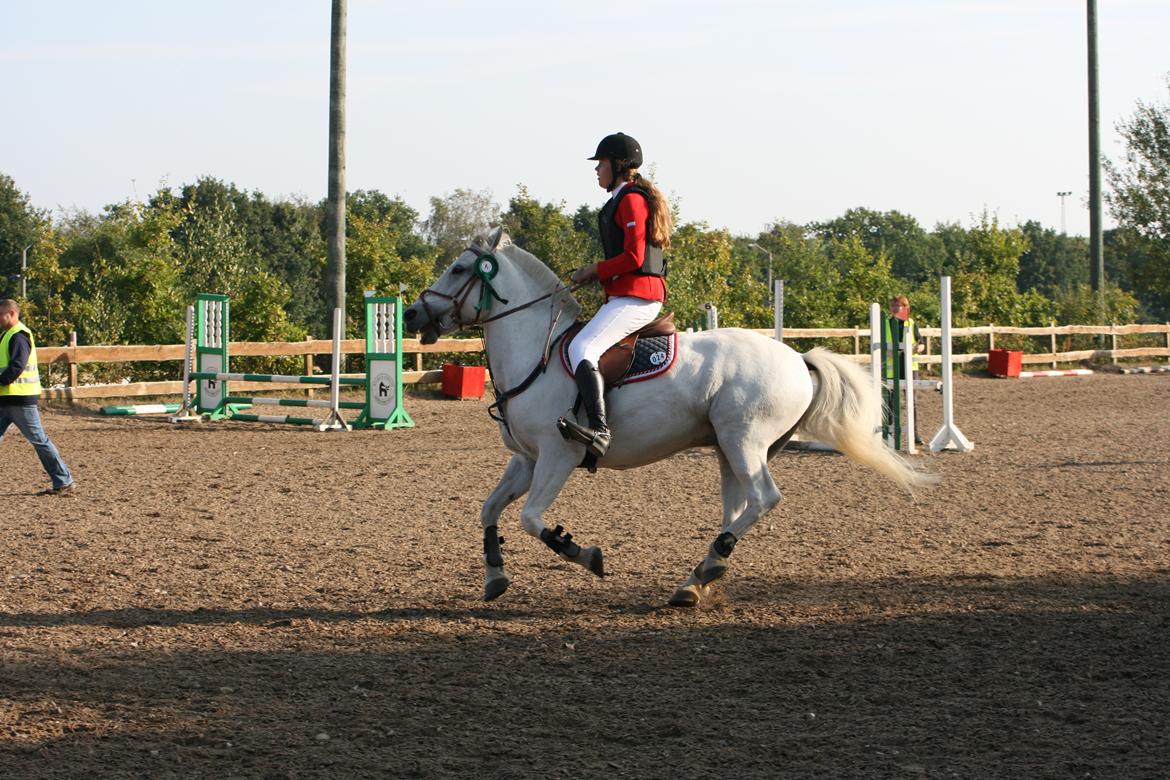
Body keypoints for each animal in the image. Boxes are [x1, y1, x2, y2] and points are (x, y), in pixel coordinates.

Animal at [402, 229, 931, 608]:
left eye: (459, 268)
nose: (410, 316)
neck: (540, 351)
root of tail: (798, 359)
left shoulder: (558, 456)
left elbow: (533, 520)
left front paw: (585, 555)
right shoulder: (526, 461)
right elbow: (490, 510)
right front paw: (495, 576)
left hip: (744, 441)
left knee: (764, 498)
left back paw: (705, 572)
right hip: (728, 450)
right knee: (738, 509)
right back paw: (698, 578)